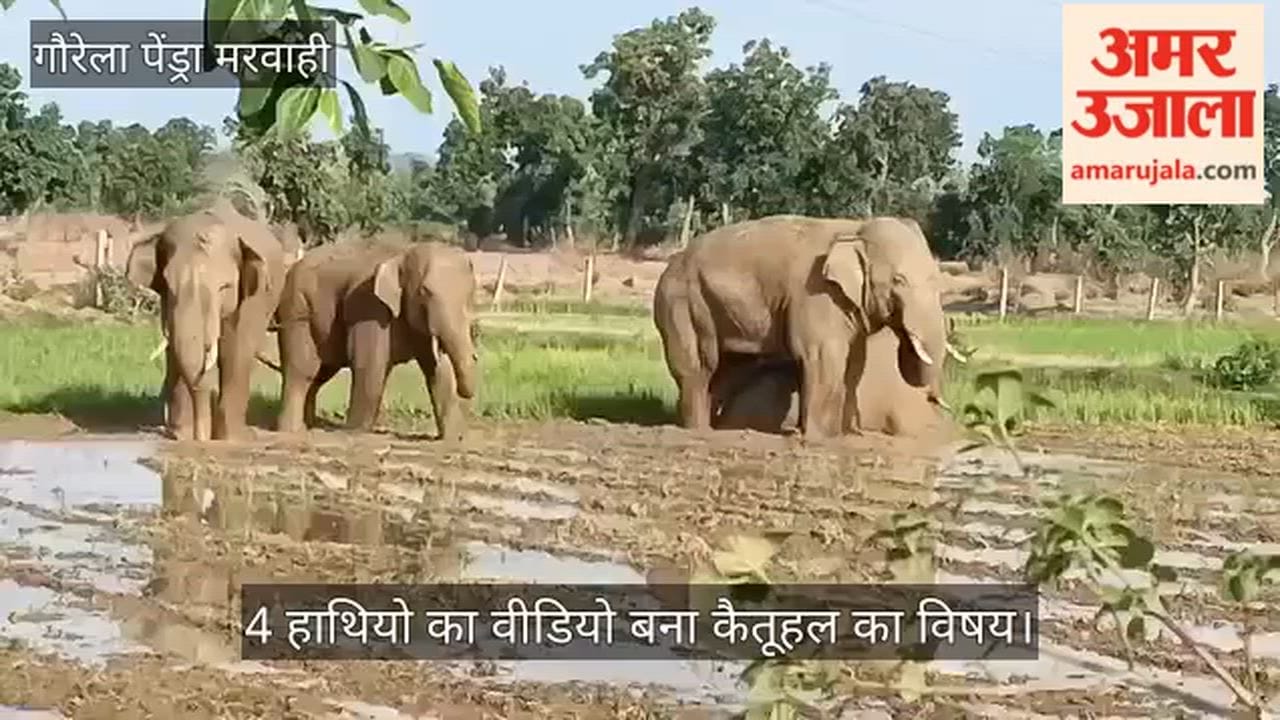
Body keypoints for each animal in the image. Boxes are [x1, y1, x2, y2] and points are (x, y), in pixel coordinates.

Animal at [125, 198, 289, 441]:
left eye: (224, 287)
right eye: (168, 284)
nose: (200, 437)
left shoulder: (251, 300)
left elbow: (236, 350)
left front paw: (229, 439)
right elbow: (175, 350)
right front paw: (182, 436)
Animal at [274, 235, 478, 441]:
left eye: (470, 292)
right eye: (424, 292)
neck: (404, 252)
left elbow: (438, 371)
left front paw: (453, 438)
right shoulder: (369, 306)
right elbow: (370, 363)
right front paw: (353, 432)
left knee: (321, 372)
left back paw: (310, 425)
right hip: (297, 310)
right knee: (302, 370)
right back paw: (293, 431)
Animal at [653, 214, 946, 438]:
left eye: (936, 279)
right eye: (899, 280)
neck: (855, 228)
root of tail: (670, 263)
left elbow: (854, 365)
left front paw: (846, 435)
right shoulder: (816, 293)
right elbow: (821, 357)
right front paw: (817, 437)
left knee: (728, 370)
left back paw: (713, 430)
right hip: (682, 305)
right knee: (699, 368)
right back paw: (697, 431)